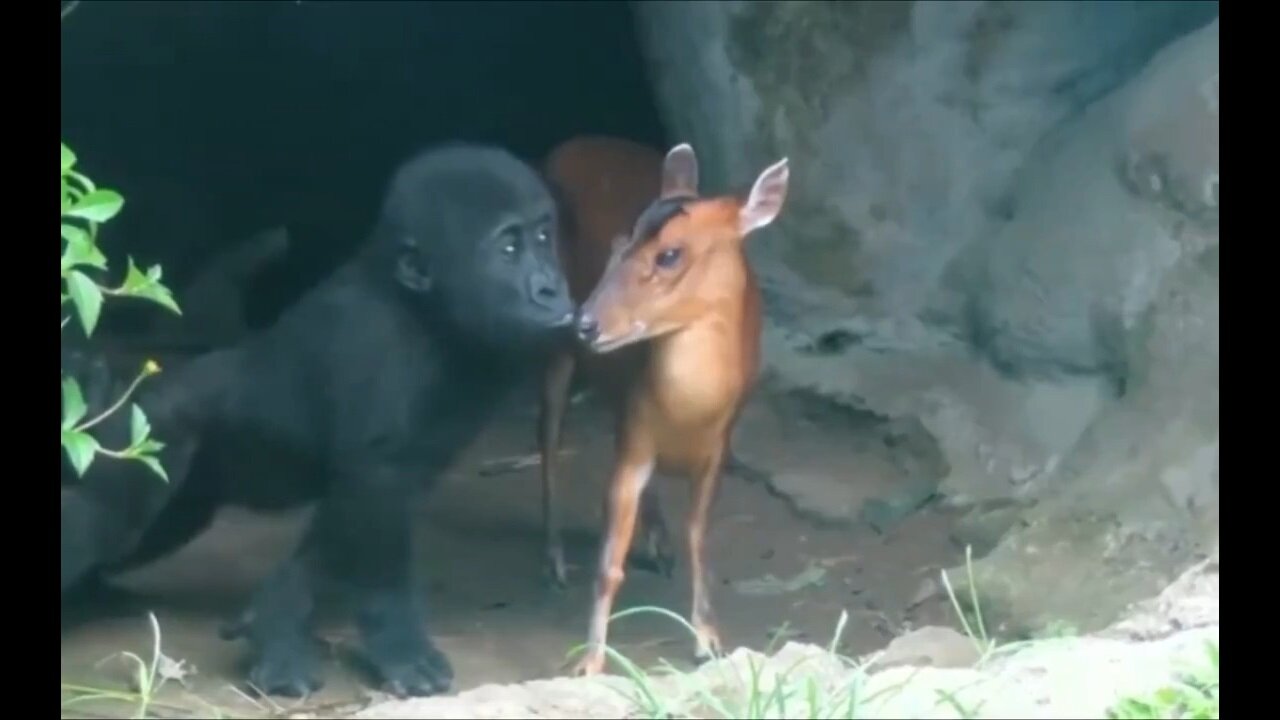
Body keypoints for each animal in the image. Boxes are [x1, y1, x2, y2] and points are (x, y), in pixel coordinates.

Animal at [62, 141, 573, 696]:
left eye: (544, 238)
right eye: (508, 249)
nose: (552, 288)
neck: (418, 305)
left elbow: (347, 520)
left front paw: (274, 622)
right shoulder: (379, 353)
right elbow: (376, 497)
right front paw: (399, 646)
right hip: (142, 431)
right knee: (105, 516)